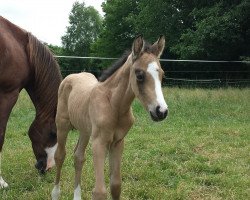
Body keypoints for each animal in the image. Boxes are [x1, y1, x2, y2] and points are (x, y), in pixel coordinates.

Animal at [51, 35, 168, 199]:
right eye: (139, 75)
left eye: (162, 75)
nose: (161, 111)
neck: (114, 106)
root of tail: (71, 76)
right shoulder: (99, 142)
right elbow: (99, 191)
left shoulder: (118, 142)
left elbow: (116, 185)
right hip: (62, 125)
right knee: (60, 156)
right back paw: (55, 193)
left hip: (85, 130)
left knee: (78, 157)